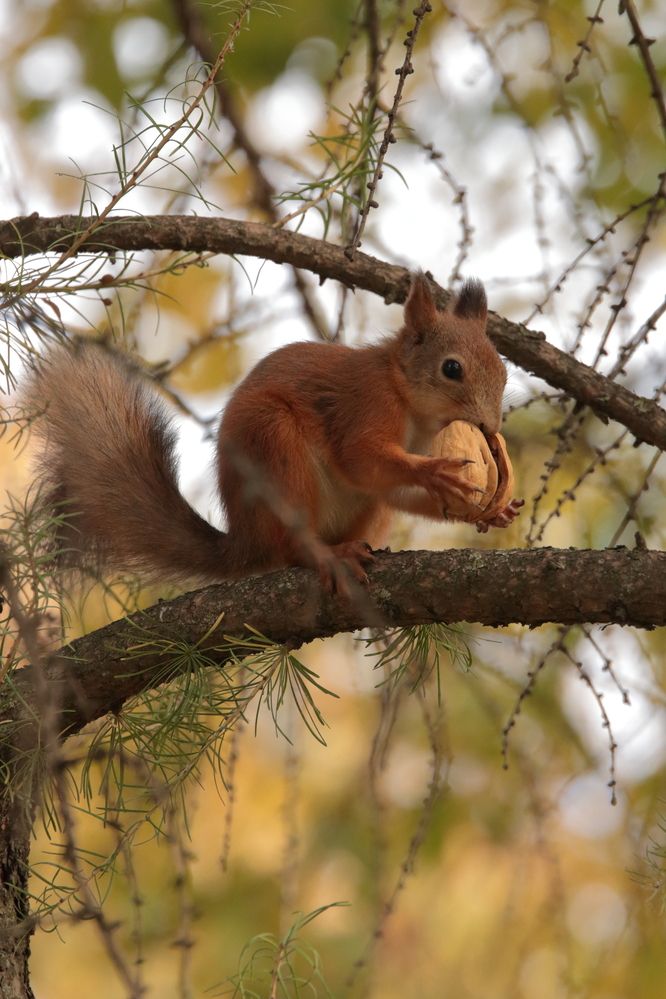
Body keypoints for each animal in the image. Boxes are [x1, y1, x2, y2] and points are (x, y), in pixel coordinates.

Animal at [25, 273, 521, 594]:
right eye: (451, 369)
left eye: (502, 371)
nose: (490, 428)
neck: (412, 405)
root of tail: (246, 543)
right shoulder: (366, 402)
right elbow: (360, 458)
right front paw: (437, 473)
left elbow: (393, 490)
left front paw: (489, 511)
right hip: (274, 446)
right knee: (292, 549)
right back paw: (327, 556)